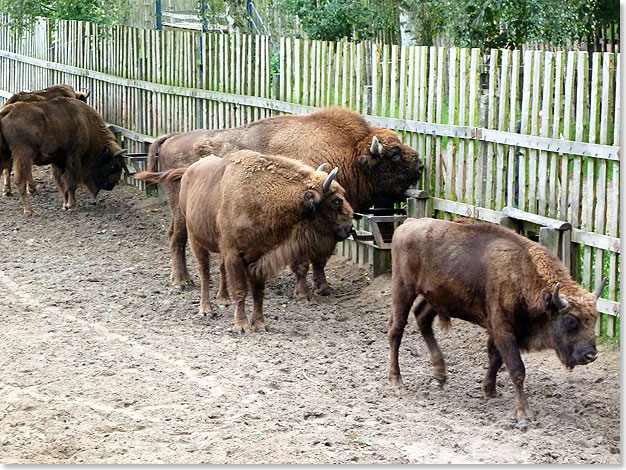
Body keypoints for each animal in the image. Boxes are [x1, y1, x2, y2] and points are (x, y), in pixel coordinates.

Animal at [136, 151, 352, 334]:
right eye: (336, 201)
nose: (349, 227)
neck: (261, 197)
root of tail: (189, 171)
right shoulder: (235, 255)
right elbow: (240, 290)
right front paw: (241, 326)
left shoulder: (260, 257)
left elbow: (258, 292)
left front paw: (260, 324)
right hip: (196, 239)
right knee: (204, 272)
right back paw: (206, 309)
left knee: (220, 269)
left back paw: (223, 300)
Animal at [144, 107, 422, 298]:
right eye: (394, 154)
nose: (420, 166)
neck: (350, 152)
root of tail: (172, 138)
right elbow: (302, 260)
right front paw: (303, 293)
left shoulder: (327, 229)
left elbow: (320, 259)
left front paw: (323, 287)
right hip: (183, 213)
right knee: (177, 238)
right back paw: (182, 281)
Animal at [388, 218, 608, 428]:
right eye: (570, 320)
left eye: (595, 318)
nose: (591, 355)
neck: (523, 274)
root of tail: (407, 224)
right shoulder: (503, 330)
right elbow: (517, 369)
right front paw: (523, 414)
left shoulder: (498, 332)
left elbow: (495, 359)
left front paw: (489, 390)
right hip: (403, 288)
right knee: (396, 331)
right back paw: (397, 381)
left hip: (436, 297)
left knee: (422, 318)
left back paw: (440, 375)